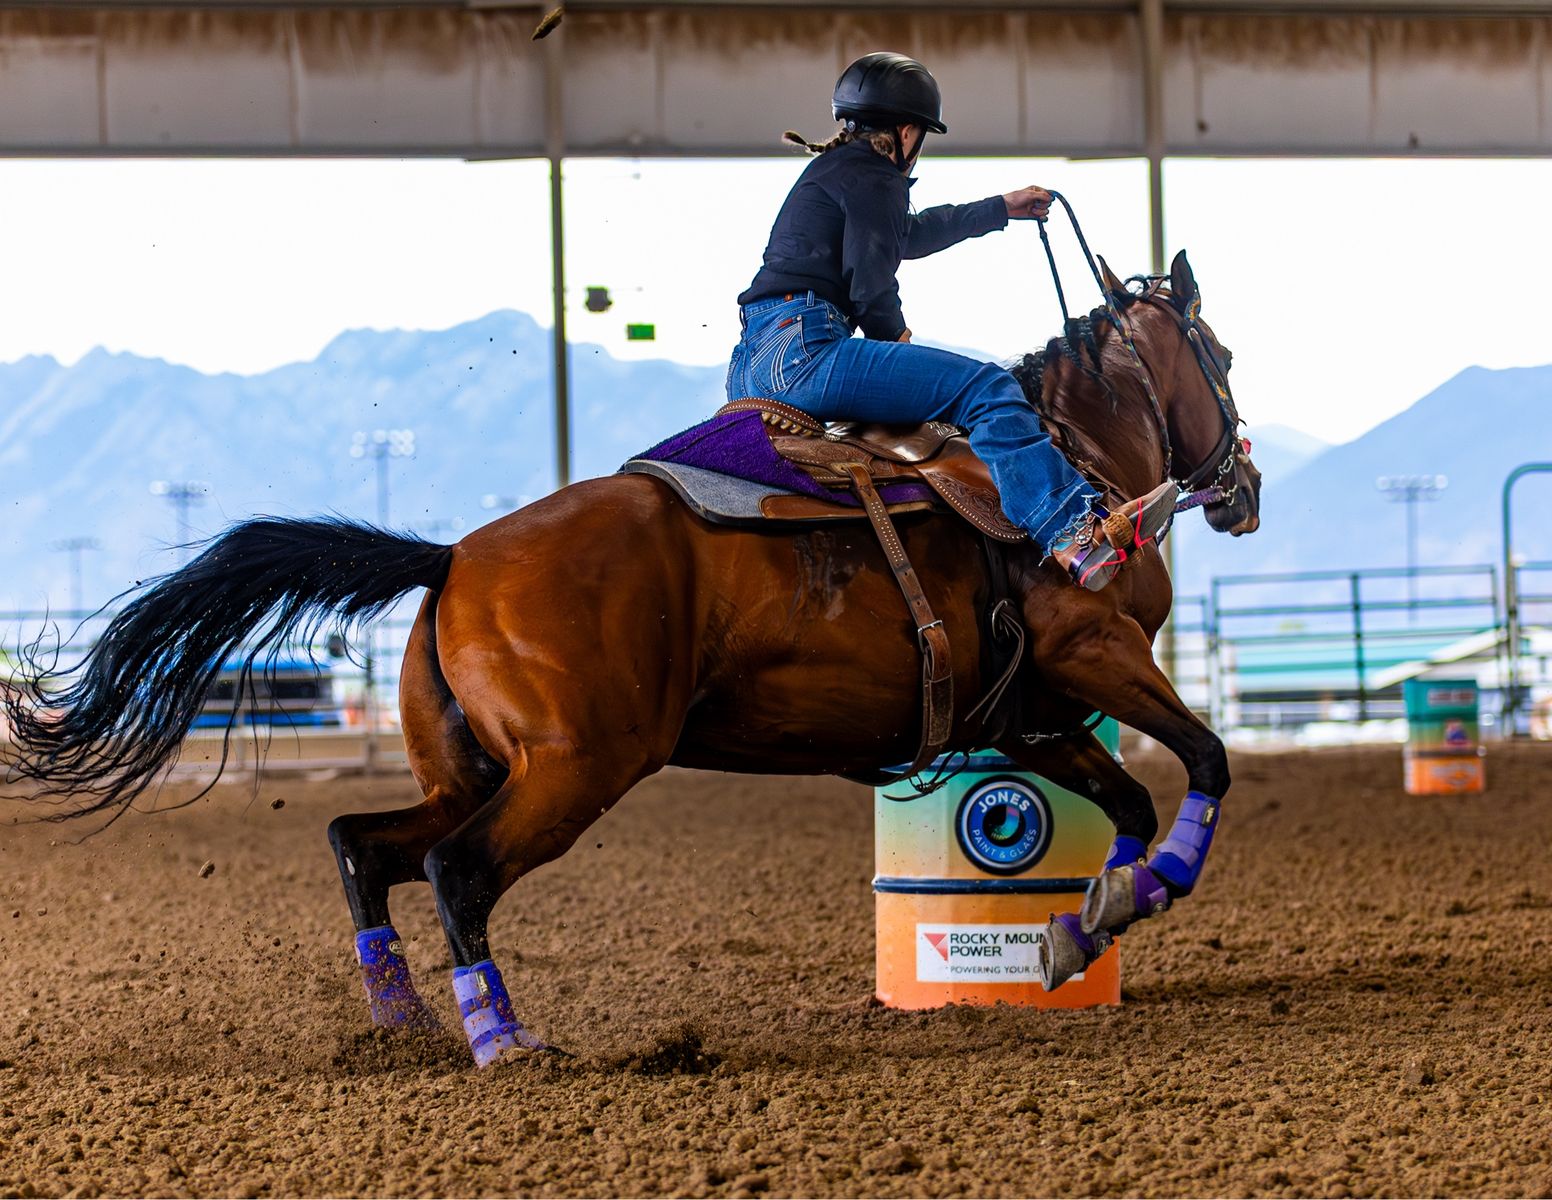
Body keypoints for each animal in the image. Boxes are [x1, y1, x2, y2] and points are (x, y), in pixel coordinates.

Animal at [4, 249, 1261, 1066]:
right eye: (1220, 351)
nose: (1241, 485)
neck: (1074, 461)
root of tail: (454, 555)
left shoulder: (1020, 715)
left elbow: (1127, 804)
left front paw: (1087, 919)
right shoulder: (1092, 648)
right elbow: (1203, 761)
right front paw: (1142, 888)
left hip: (478, 769)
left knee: (365, 844)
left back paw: (402, 1023)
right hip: (574, 769)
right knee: (457, 871)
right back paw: (503, 1037)